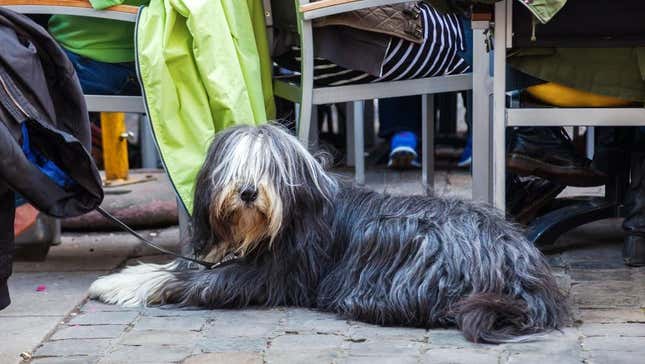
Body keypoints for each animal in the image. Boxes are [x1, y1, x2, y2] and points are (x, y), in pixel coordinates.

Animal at [89, 123, 564, 342]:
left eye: (268, 169)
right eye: (234, 167)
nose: (247, 192)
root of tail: (522, 265)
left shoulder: (268, 275)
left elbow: (185, 280)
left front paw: (116, 285)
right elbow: (176, 266)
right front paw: (119, 278)